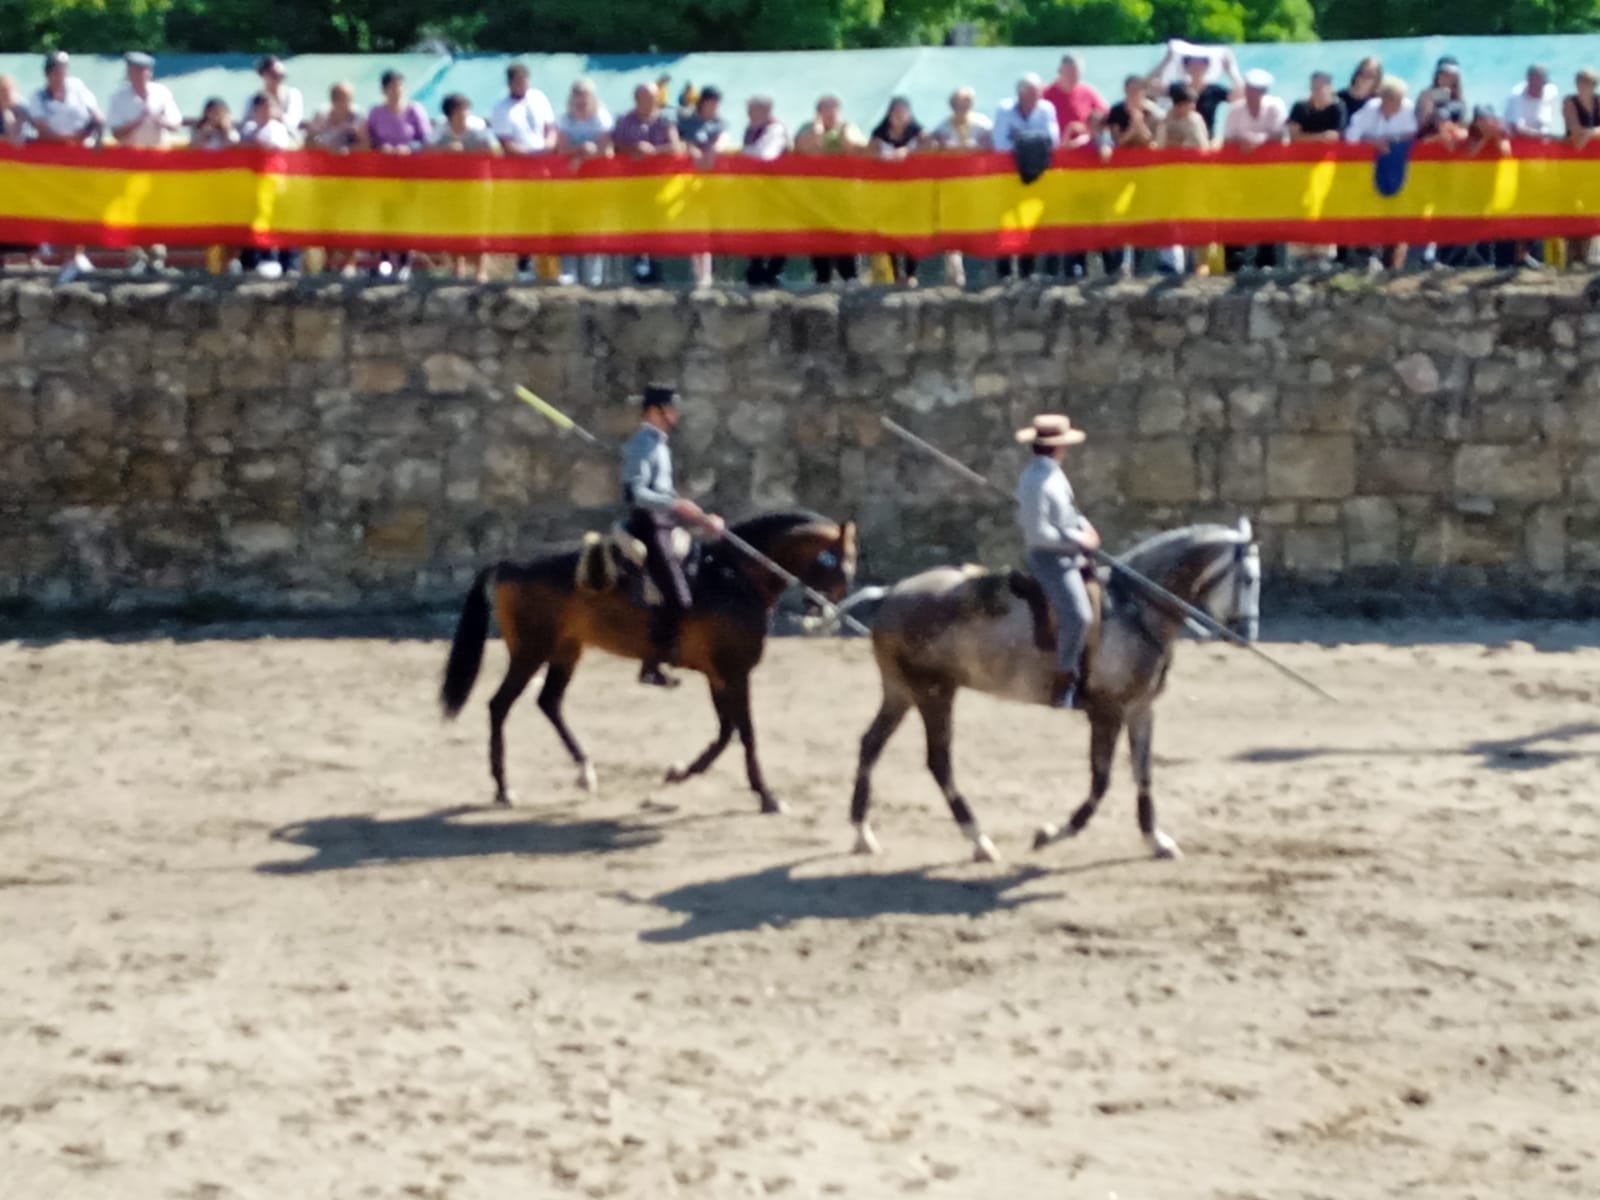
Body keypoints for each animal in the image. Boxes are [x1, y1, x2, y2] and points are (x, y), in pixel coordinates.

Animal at [438, 512, 857, 812]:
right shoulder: (734, 671)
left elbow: (726, 732)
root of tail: (508, 564)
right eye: (840, 564)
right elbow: (746, 732)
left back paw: (585, 770)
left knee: (549, 702)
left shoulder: (718, 675)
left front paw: (681, 773)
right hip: (530, 651)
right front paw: (767, 796)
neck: (734, 576)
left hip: (566, 649)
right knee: (500, 706)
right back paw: (504, 788)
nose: (824, 610)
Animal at [851, 521, 1260, 857]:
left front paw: (1155, 839)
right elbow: (1101, 780)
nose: (1246, 634)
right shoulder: (1107, 712)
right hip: (933, 693)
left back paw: (862, 833)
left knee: (871, 744)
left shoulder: (1141, 708)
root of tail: (892, 592)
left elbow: (1143, 773)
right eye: (1250, 580)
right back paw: (979, 839)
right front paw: (1053, 833)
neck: (1135, 608)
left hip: (901, 691)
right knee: (939, 762)